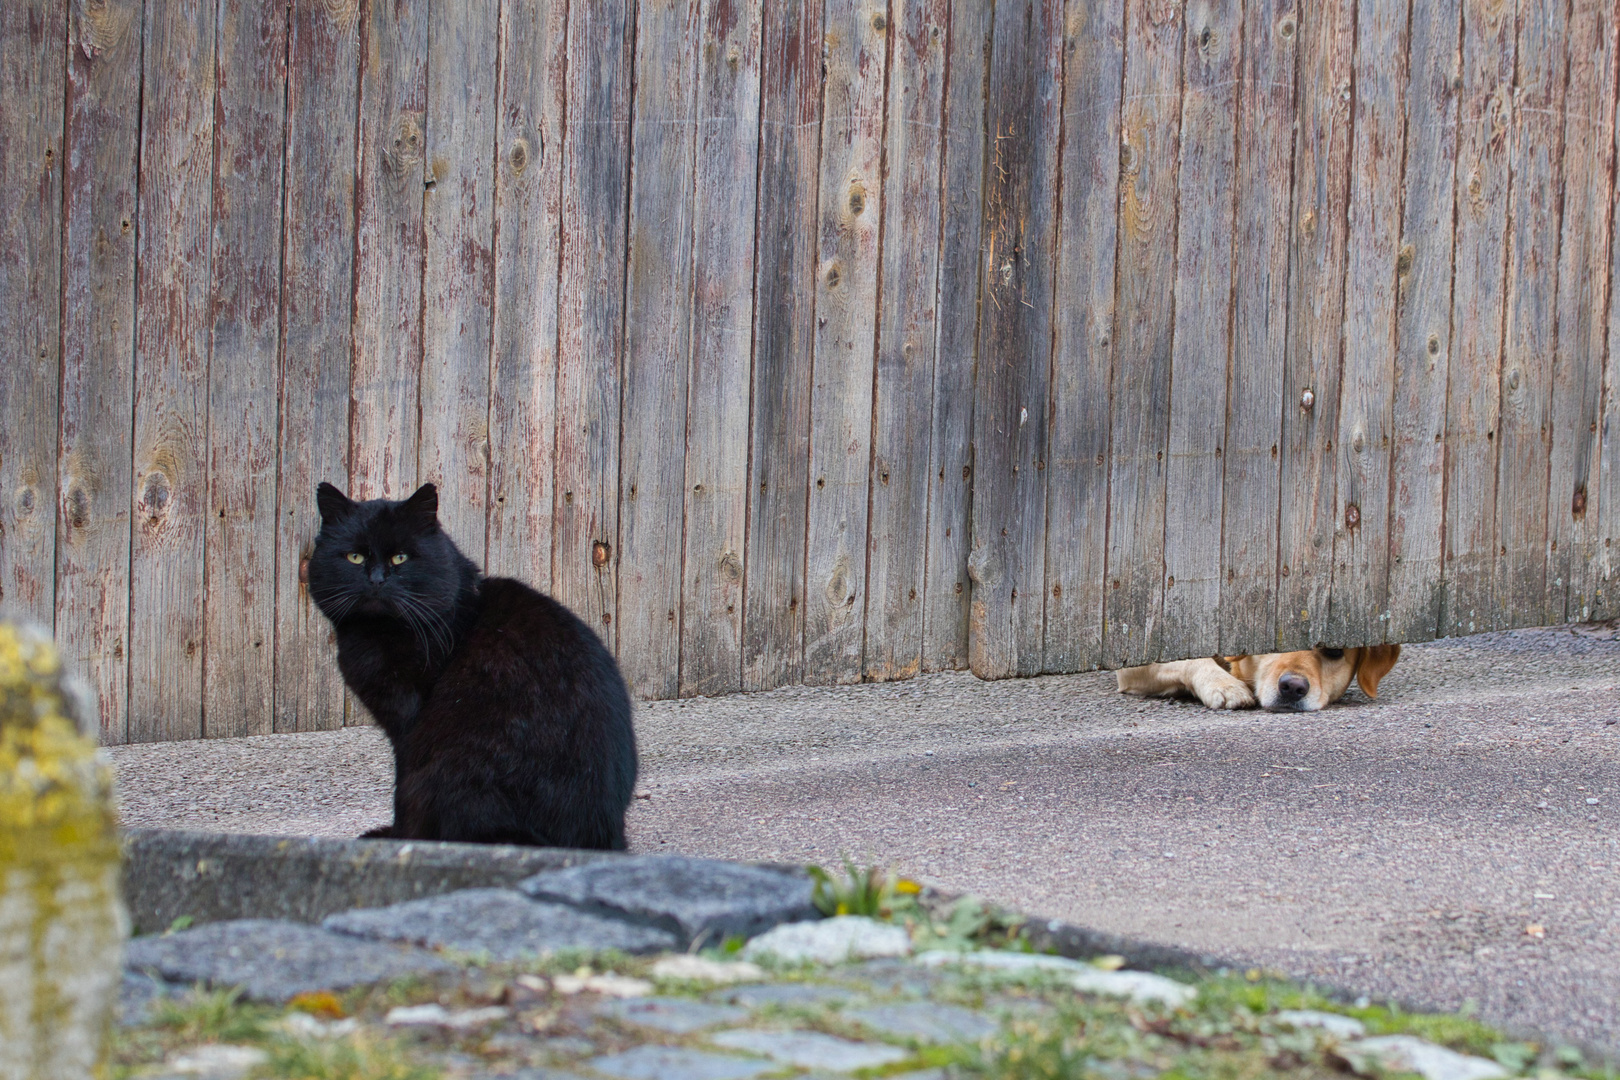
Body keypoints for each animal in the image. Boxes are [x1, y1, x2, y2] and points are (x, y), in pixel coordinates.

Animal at [306, 482, 635, 854]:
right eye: (355, 557)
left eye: (400, 558)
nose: (376, 580)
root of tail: (596, 836)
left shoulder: (409, 723)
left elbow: (401, 786)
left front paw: (400, 838)